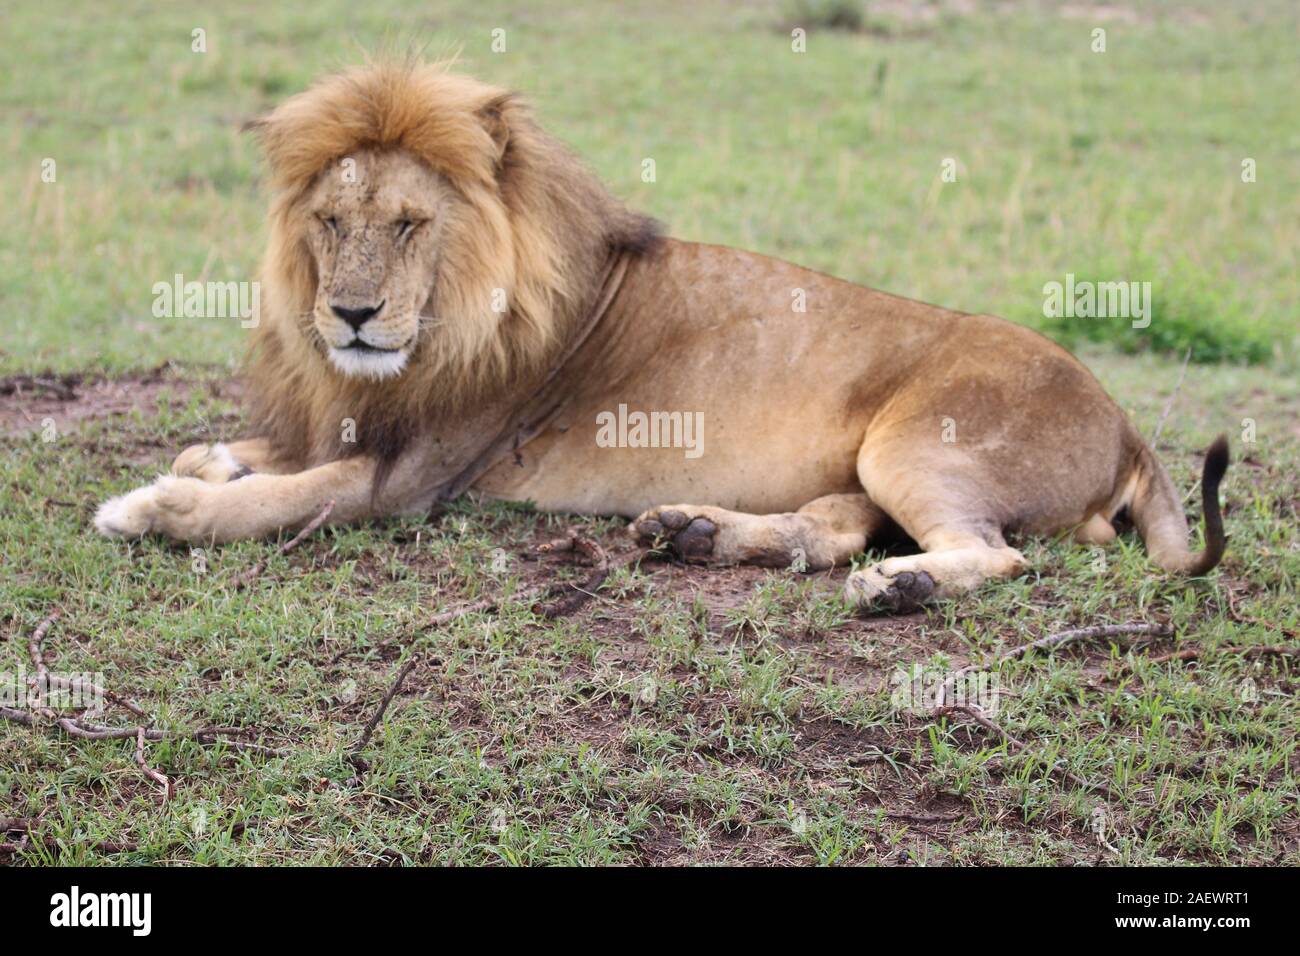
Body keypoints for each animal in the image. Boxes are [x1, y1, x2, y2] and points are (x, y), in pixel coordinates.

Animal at [95, 62, 1228, 613]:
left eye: (410, 224)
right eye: (332, 222)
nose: (352, 314)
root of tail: (1127, 424)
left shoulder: (409, 479)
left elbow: (275, 502)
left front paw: (151, 507)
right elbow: (242, 454)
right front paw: (206, 462)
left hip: (914, 441)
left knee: (992, 554)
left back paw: (896, 588)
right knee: (836, 525)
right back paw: (696, 532)